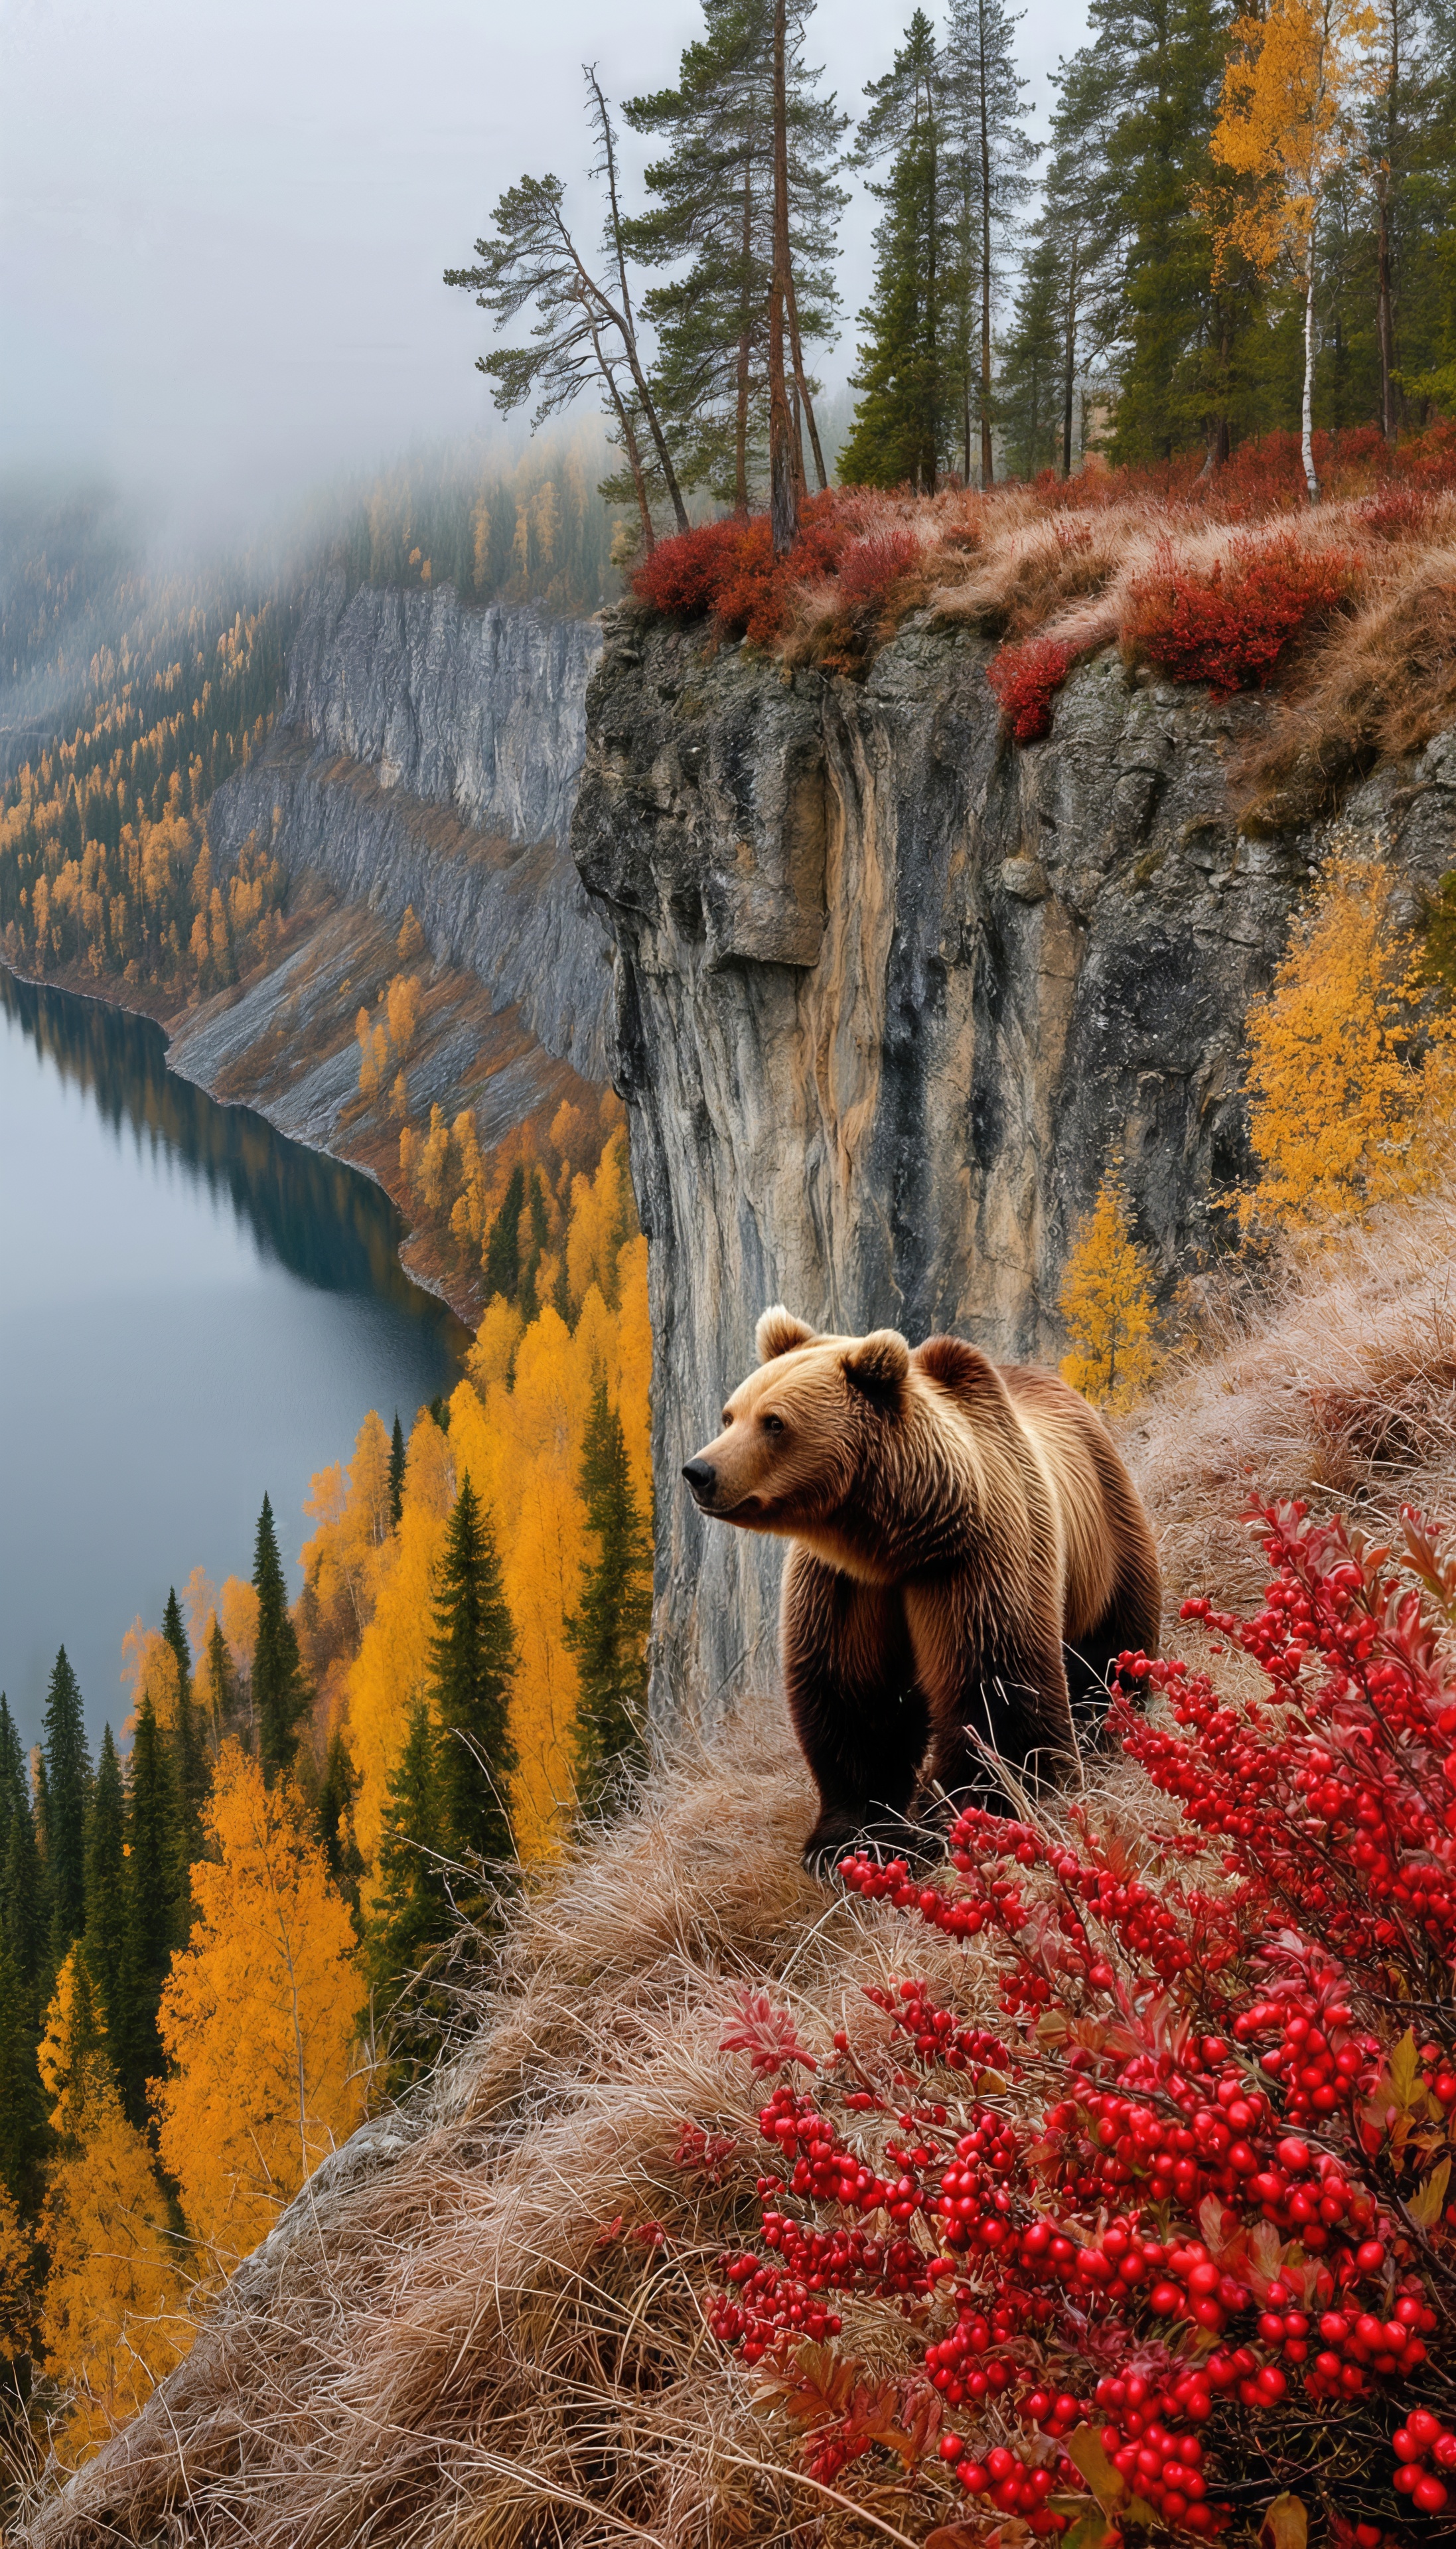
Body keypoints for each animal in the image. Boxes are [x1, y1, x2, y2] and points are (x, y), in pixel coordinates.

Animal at [682, 1306, 1162, 1871]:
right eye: (729, 1415)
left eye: (774, 1422)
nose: (699, 1471)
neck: (895, 1536)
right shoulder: (846, 1587)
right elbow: (854, 1701)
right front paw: (846, 1839)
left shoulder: (973, 1562)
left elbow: (993, 1685)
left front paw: (970, 1813)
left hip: (1108, 1533)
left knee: (1110, 1650)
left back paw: (1109, 1725)